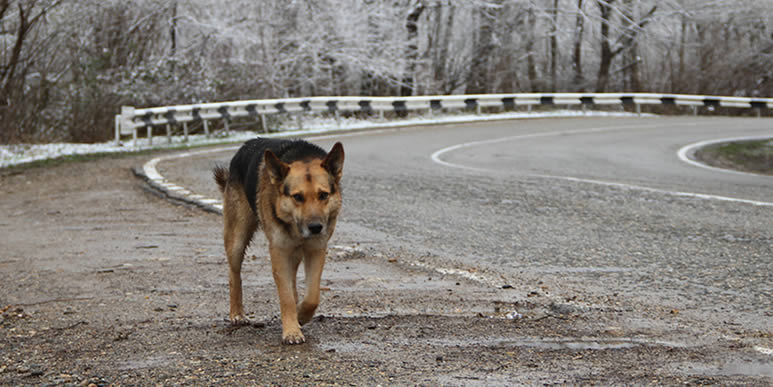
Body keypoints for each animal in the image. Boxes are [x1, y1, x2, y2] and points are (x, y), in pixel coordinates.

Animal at [213, 139, 342, 346]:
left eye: (323, 195)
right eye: (297, 197)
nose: (316, 227)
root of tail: (247, 144)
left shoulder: (316, 249)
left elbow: (312, 296)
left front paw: (300, 315)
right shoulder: (279, 252)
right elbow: (286, 296)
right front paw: (291, 331)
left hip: (294, 252)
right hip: (237, 240)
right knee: (234, 275)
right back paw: (237, 313)